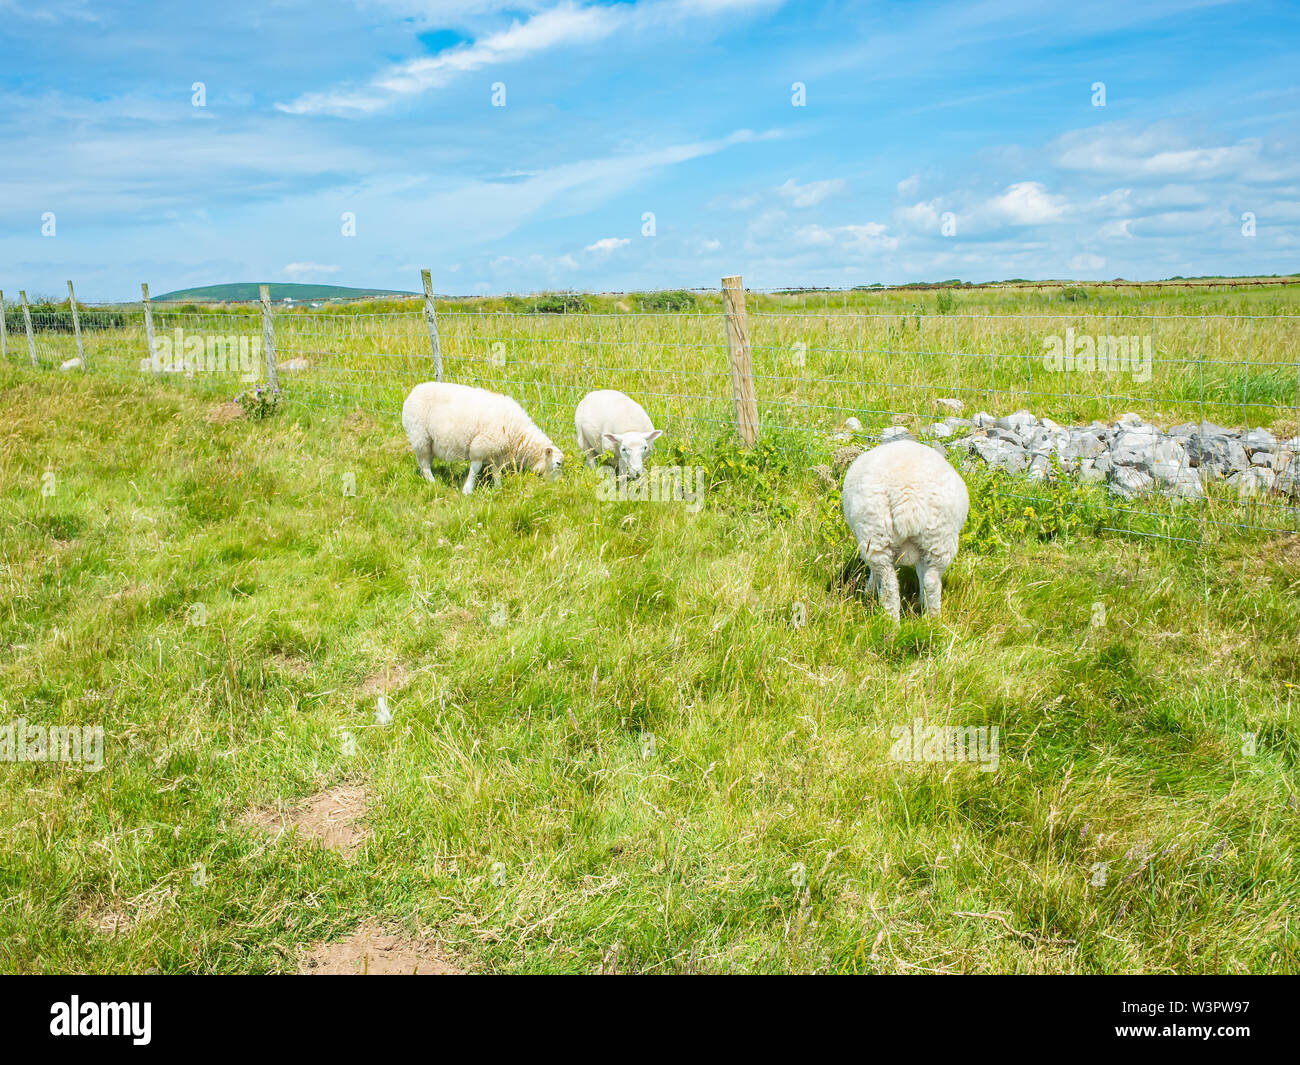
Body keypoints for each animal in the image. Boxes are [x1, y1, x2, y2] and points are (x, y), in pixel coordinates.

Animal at [401, 381, 564, 495]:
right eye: (558, 463)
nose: (558, 484)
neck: (517, 433)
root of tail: (413, 392)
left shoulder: (496, 453)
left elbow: (496, 471)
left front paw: (498, 487)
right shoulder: (480, 447)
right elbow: (475, 469)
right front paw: (467, 490)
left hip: (428, 442)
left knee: (425, 462)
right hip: (420, 437)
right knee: (424, 463)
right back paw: (432, 482)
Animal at [841, 439, 969, 621]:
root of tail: (909, 496)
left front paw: (869, 592)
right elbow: (921, 572)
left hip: (877, 537)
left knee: (889, 585)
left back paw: (891, 622)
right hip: (939, 538)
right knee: (931, 581)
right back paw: (932, 619)